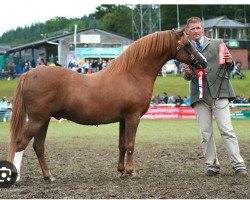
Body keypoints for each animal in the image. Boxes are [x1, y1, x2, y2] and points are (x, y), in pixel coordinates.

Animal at [8, 28, 207, 181]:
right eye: (188, 45)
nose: (203, 62)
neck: (132, 74)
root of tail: (28, 74)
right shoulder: (133, 117)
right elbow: (131, 144)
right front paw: (132, 172)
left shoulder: (123, 119)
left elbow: (122, 145)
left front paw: (121, 172)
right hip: (37, 119)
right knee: (21, 143)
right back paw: (16, 177)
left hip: (44, 120)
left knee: (38, 146)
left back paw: (49, 176)